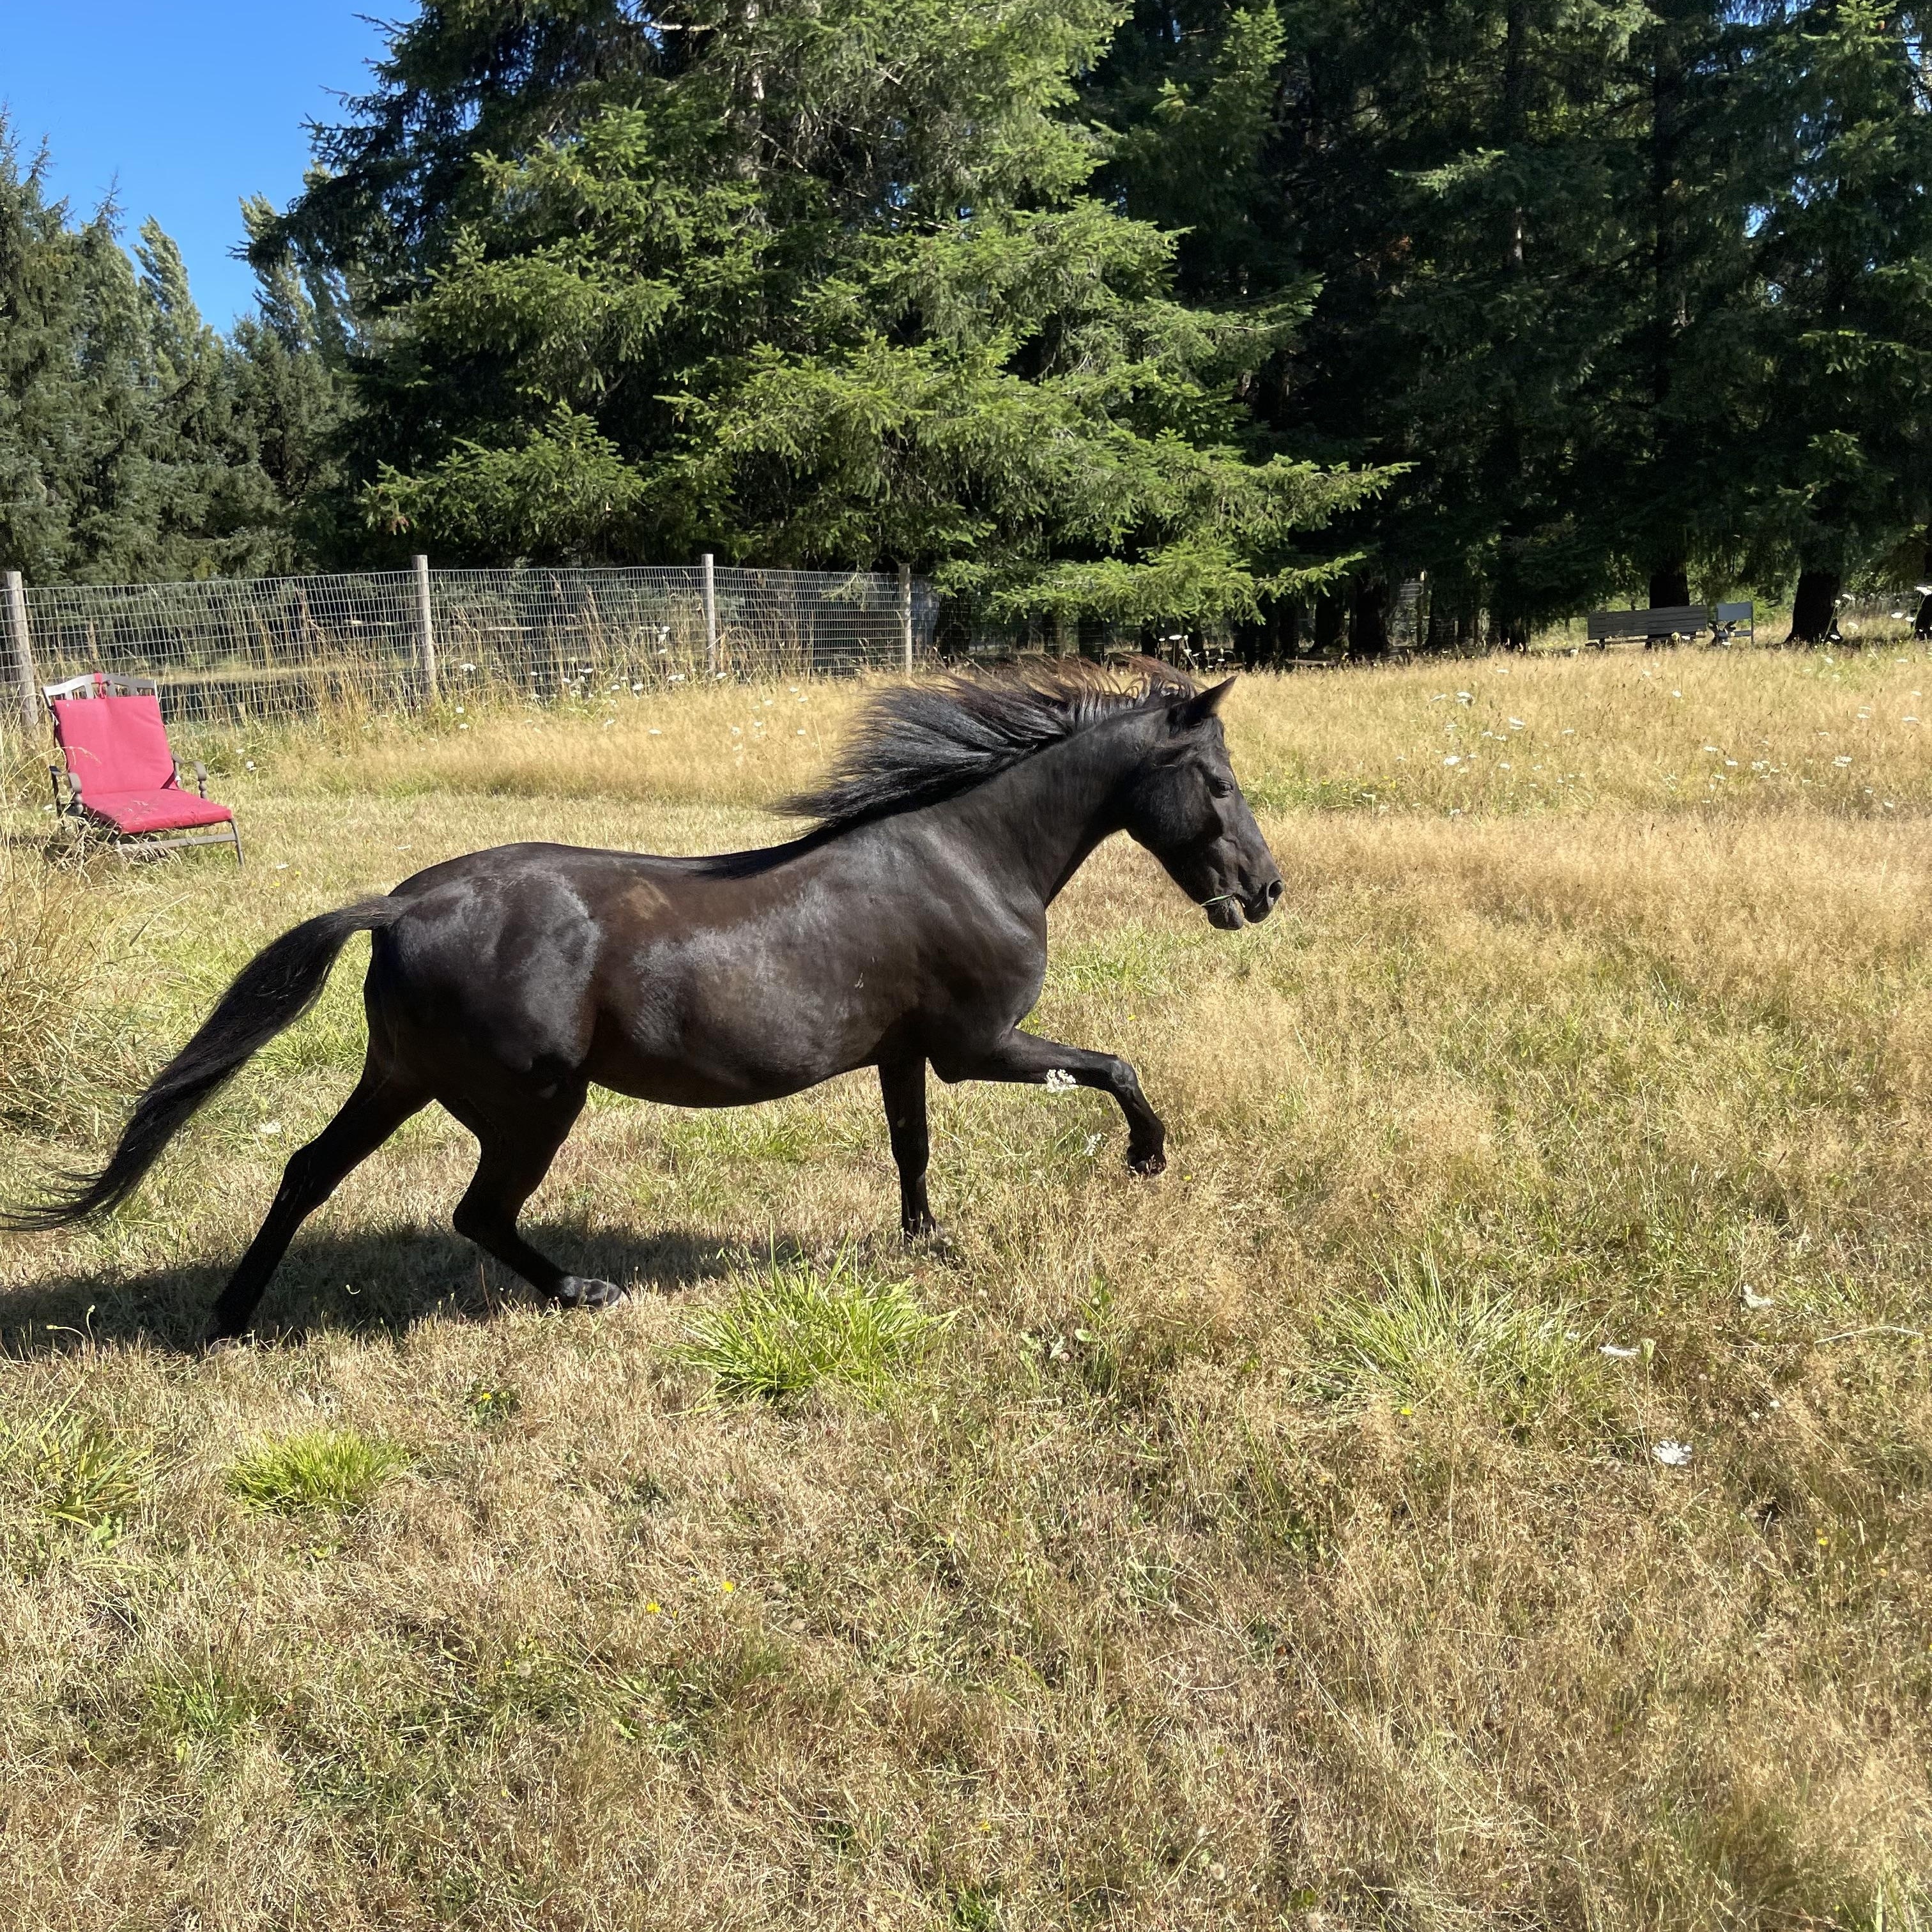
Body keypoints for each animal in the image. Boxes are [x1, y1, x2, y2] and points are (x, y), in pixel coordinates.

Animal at [6, 660, 1283, 1340]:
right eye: (1216, 781)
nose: (1266, 892)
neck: (968, 855)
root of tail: (401, 904)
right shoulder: (981, 1041)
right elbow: (1114, 1066)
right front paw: (1147, 1158)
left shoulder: (906, 1051)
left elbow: (910, 1147)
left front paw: (926, 1241)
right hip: (530, 1102)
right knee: (475, 1212)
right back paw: (582, 1288)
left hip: (403, 1077)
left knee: (310, 1170)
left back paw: (231, 1316)